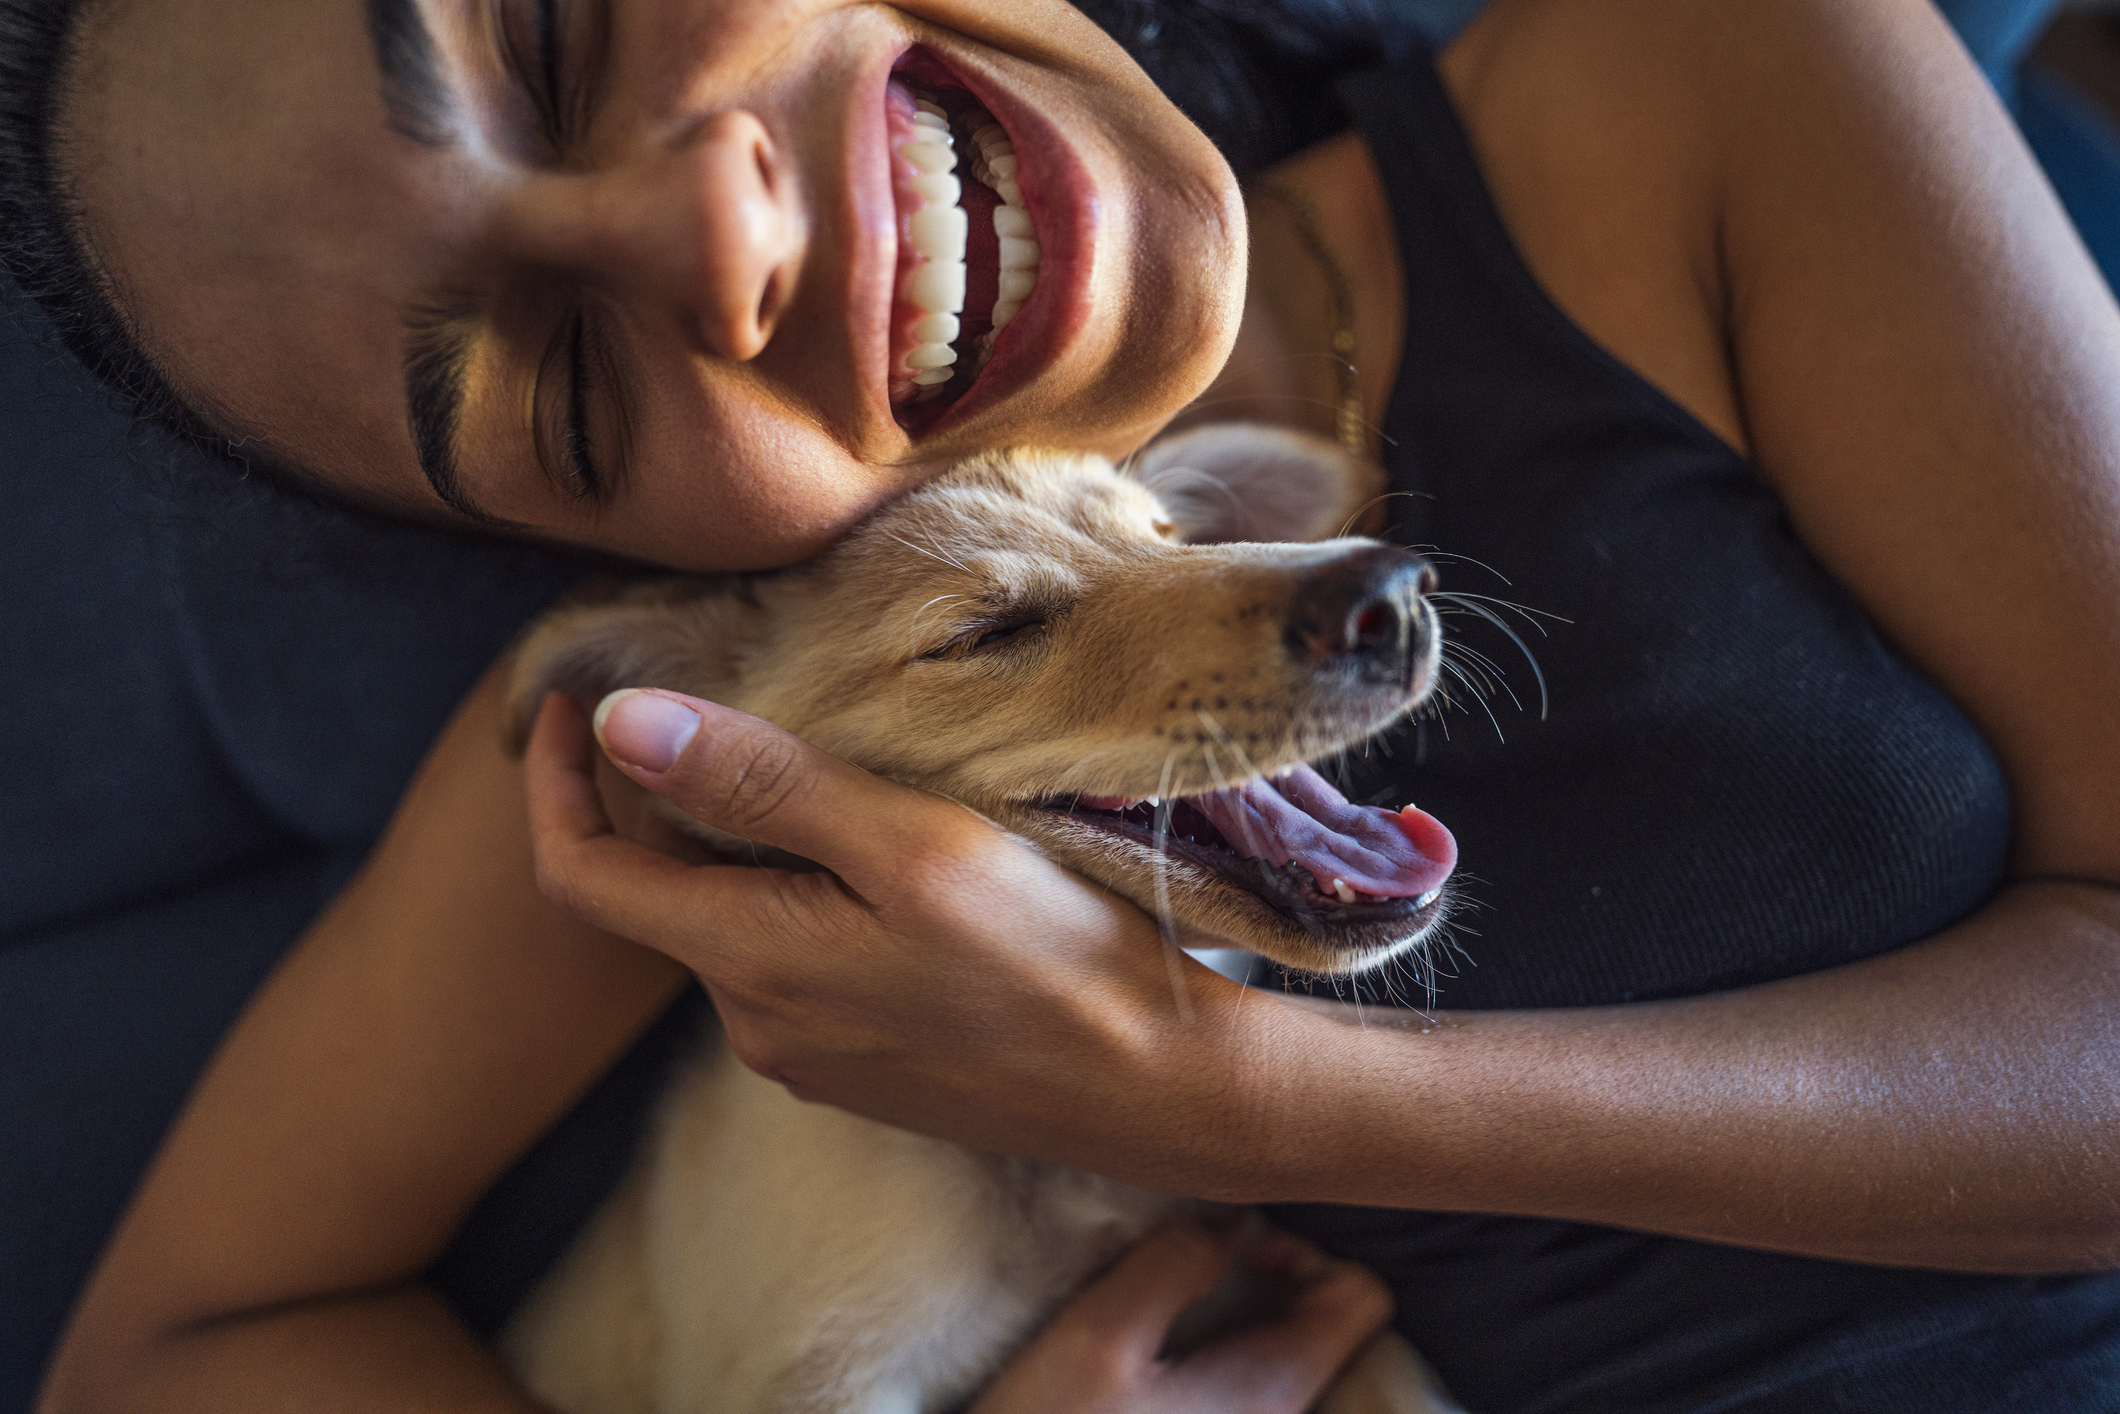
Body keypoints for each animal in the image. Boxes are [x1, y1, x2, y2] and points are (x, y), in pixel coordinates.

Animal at [498, 428, 1467, 1414]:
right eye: (985, 634)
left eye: (1171, 538)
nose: (1390, 592)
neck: (1054, 1172)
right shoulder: (815, 1377)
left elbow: (1396, 1371)